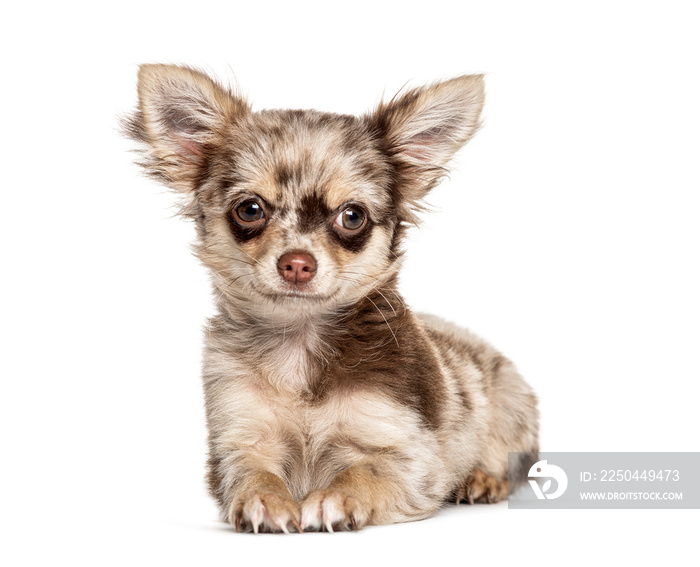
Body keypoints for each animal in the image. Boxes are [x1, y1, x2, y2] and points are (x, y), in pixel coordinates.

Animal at [126, 65, 540, 532]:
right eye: (249, 209)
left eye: (352, 216)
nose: (297, 263)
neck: (299, 344)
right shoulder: (240, 438)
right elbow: (254, 473)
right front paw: (264, 499)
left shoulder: (407, 454)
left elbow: (364, 471)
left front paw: (335, 498)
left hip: (509, 405)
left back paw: (482, 479)